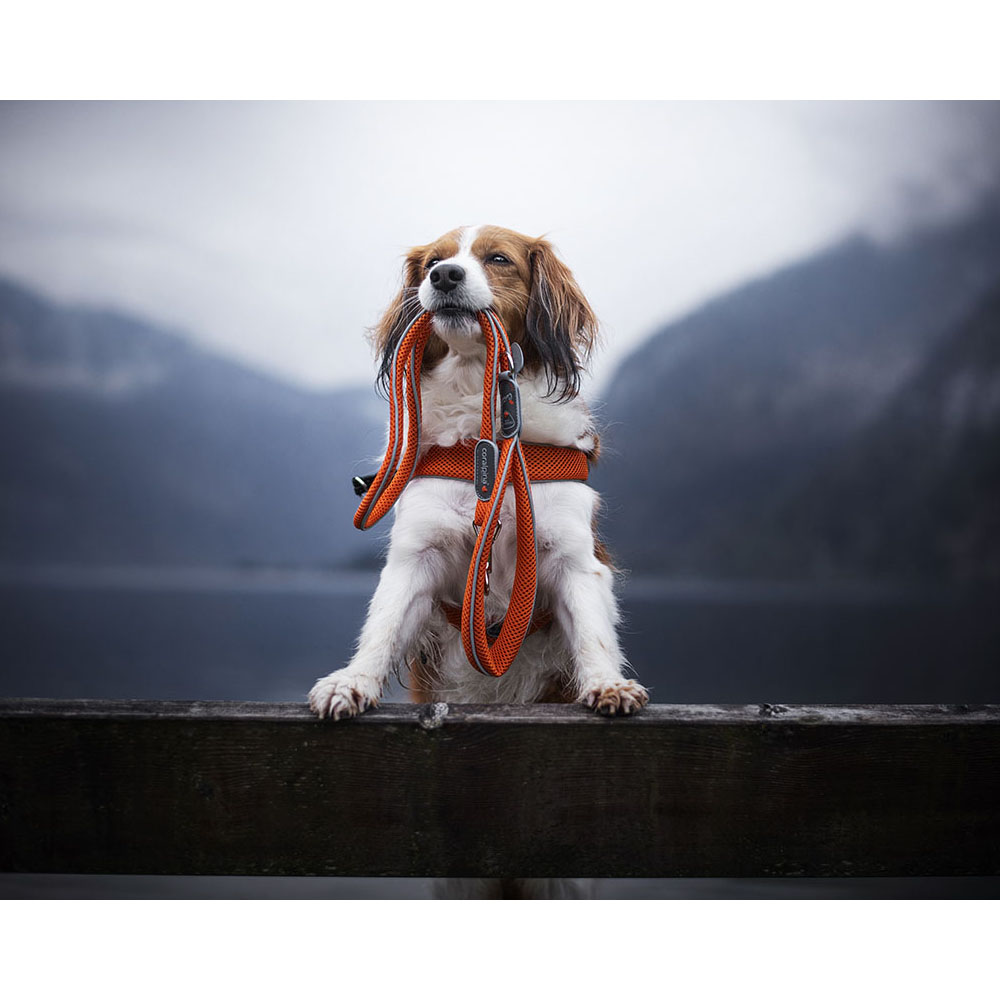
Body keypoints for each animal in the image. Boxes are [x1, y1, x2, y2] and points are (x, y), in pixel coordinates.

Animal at [309, 225, 648, 720]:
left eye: (499, 259)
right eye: (433, 261)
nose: (445, 276)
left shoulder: (572, 557)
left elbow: (591, 632)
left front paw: (608, 684)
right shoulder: (419, 554)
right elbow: (384, 624)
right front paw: (352, 681)